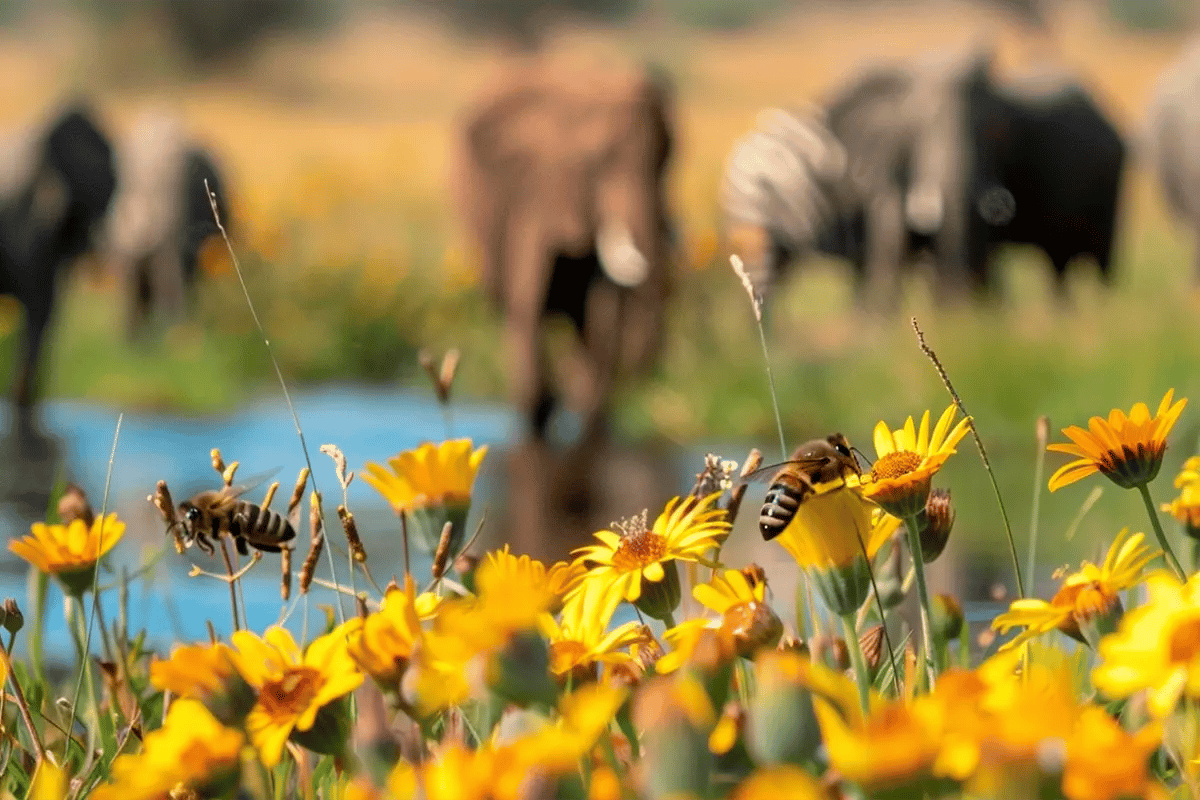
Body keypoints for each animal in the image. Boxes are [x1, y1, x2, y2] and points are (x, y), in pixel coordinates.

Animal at [451, 62, 676, 448]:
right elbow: (528, 304)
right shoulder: (535, 195)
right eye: (597, 163)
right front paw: (544, 411)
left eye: (668, 161)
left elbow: (602, 313)